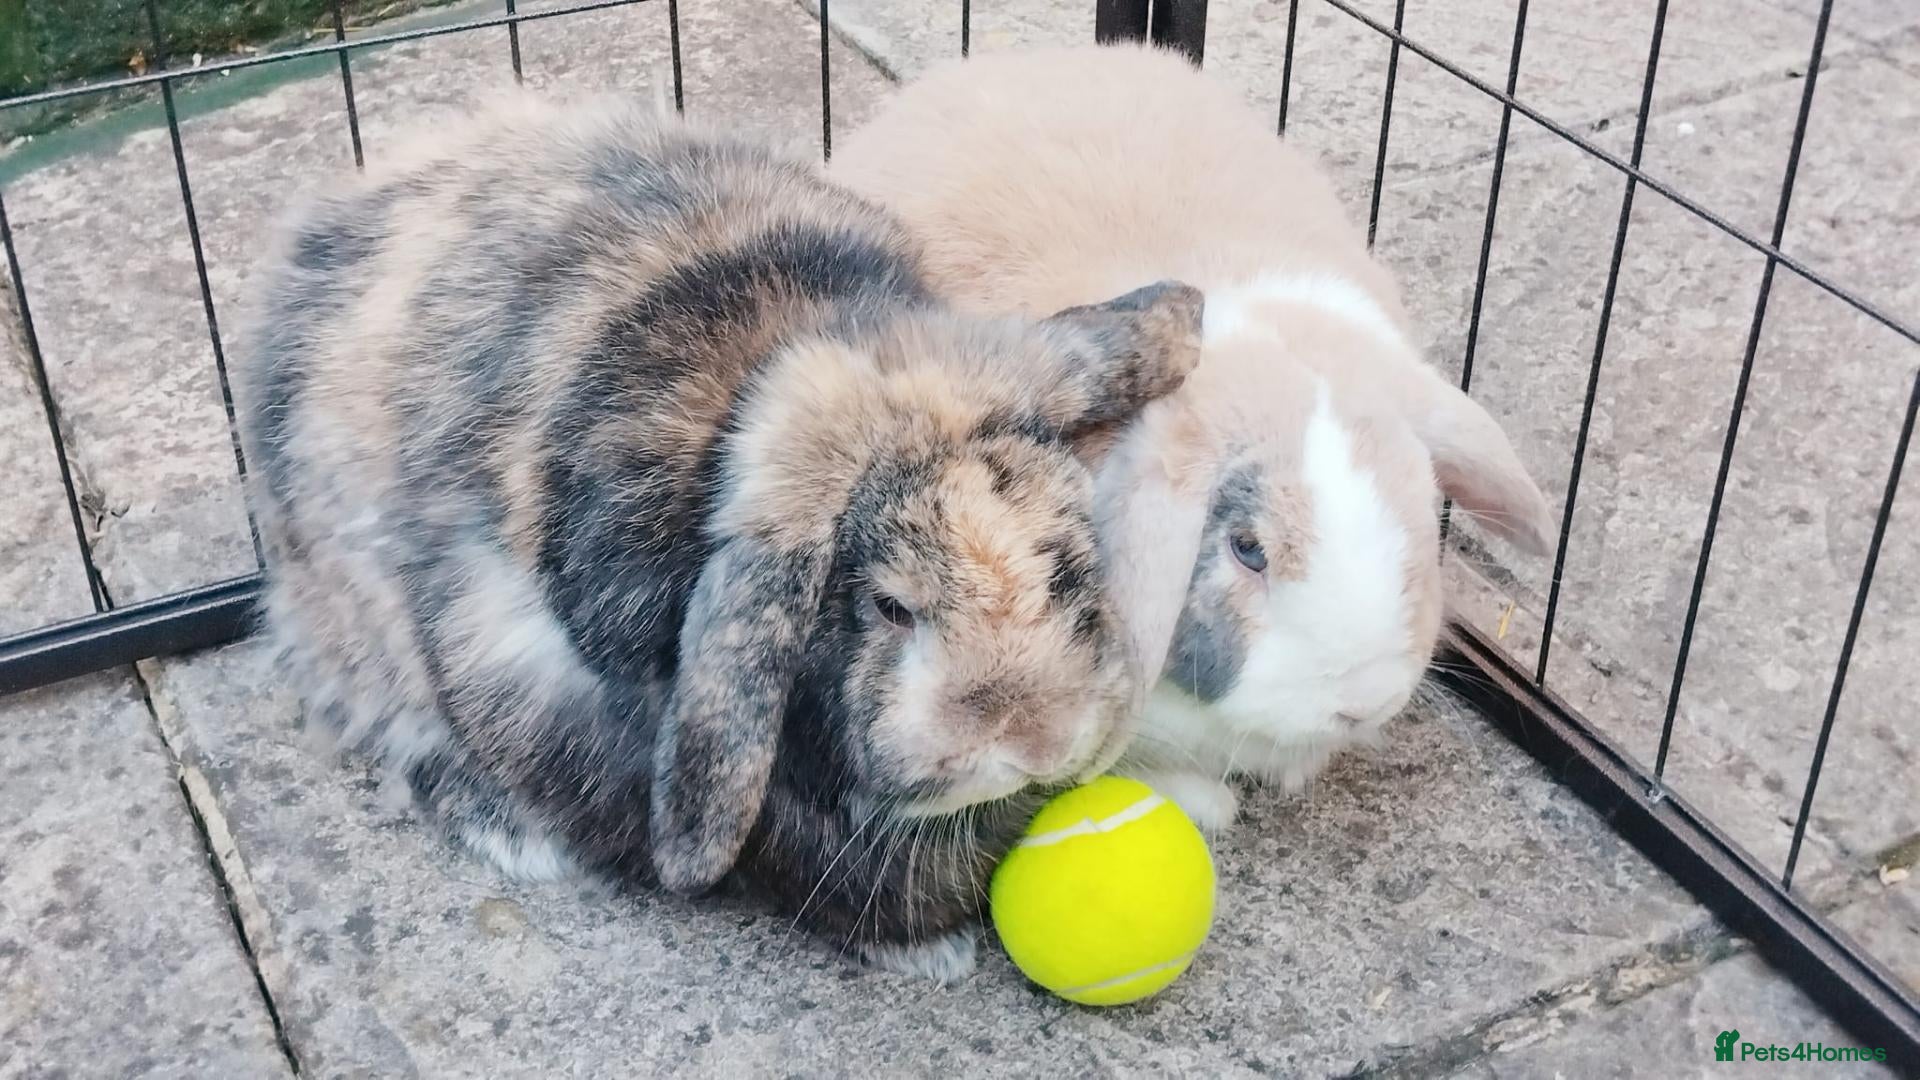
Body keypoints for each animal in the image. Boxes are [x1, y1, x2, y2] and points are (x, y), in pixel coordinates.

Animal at [233, 91, 1203, 980]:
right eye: (890, 607)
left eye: (1064, 569)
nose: (1036, 741)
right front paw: (931, 950)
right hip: (368, 639)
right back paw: (511, 833)